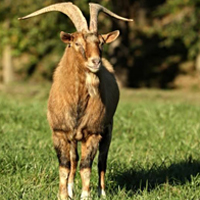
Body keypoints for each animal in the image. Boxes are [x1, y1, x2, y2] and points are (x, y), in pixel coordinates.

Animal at [19, 1, 133, 200]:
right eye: (77, 43)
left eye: (101, 42)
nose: (96, 62)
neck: (77, 104)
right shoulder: (59, 133)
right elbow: (64, 166)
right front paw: (63, 195)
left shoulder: (93, 133)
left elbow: (86, 167)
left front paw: (85, 196)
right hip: (73, 138)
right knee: (73, 160)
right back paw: (71, 189)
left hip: (108, 128)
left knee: (102, 160)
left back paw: (102, 192)